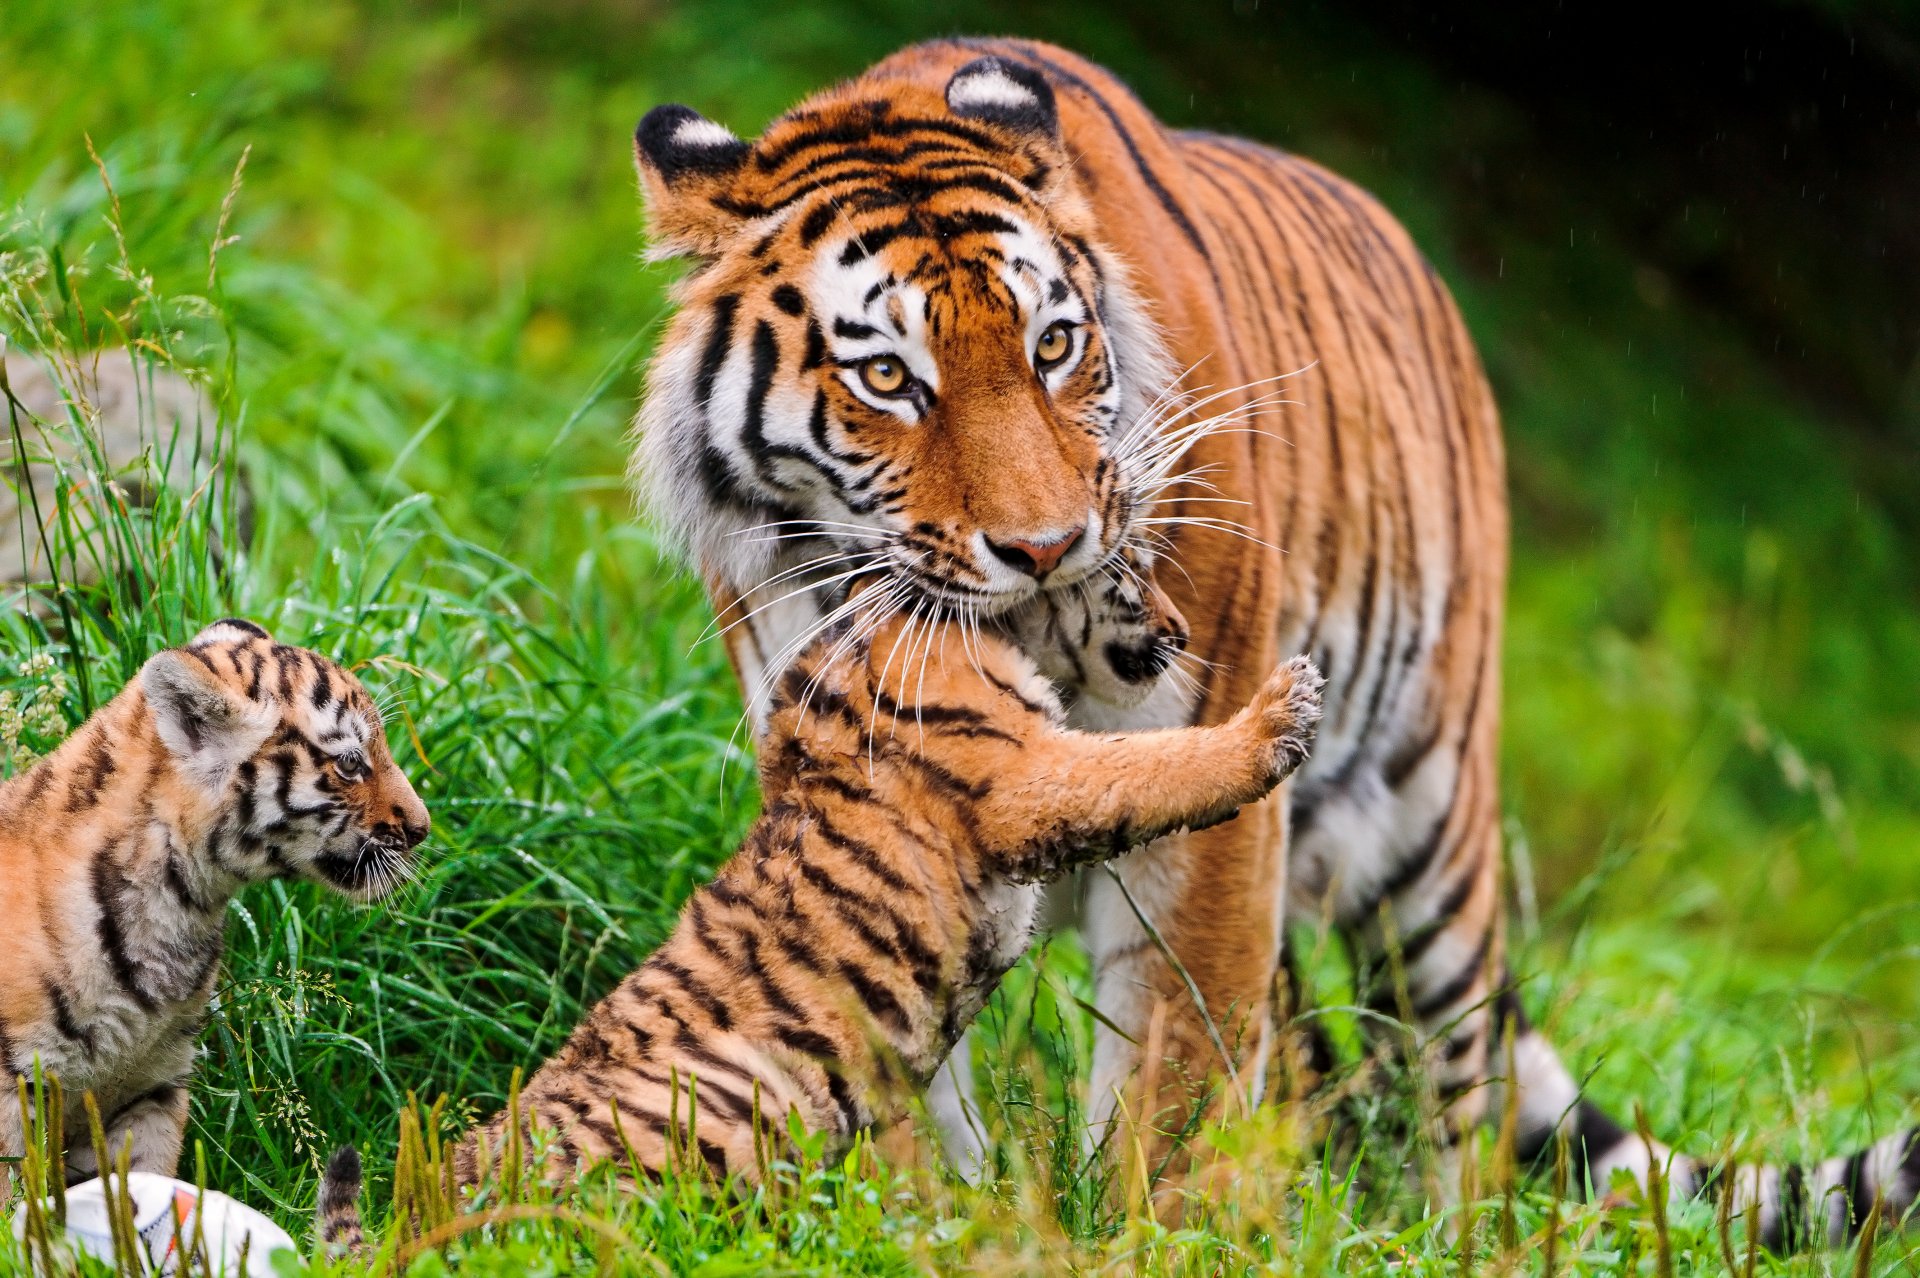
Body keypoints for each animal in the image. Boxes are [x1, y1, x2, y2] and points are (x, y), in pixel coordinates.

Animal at [622, 37, 1912, 1235]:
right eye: (889, 377)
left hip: (1433, 835)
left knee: (1453, 1101)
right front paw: (928, 1223)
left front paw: (1151, 1233)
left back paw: (1442, 1235)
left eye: (1051, 347)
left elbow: (1179, 1075)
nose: (1046, 545)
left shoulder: (1208, 808)